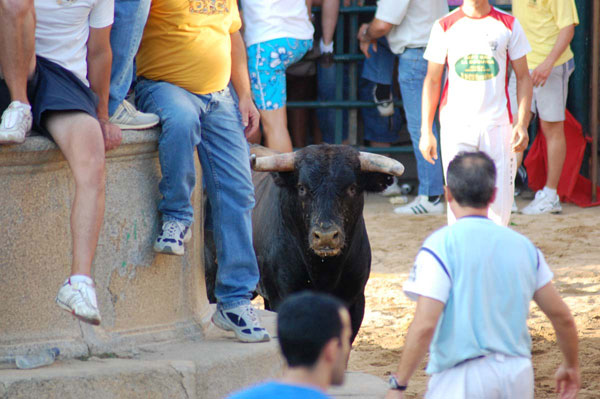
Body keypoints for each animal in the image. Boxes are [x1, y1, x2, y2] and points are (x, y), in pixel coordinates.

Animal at [204, 145, 406, 342]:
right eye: (302, 188)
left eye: (352, 188)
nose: (325, 236)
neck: (324, 271)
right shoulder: (283, 298)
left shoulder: (355, 301)